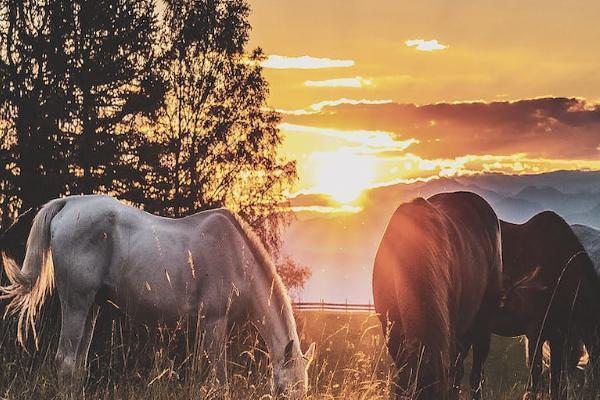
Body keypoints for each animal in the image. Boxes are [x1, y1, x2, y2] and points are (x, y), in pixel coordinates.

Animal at [0, 194, 316, 396]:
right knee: (65, 362)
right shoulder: (214, 322)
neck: (236, 257)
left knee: (77, 366)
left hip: (91, 308)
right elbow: (220, 382)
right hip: (76, 302)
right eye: (285, 391)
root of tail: (69, 204)